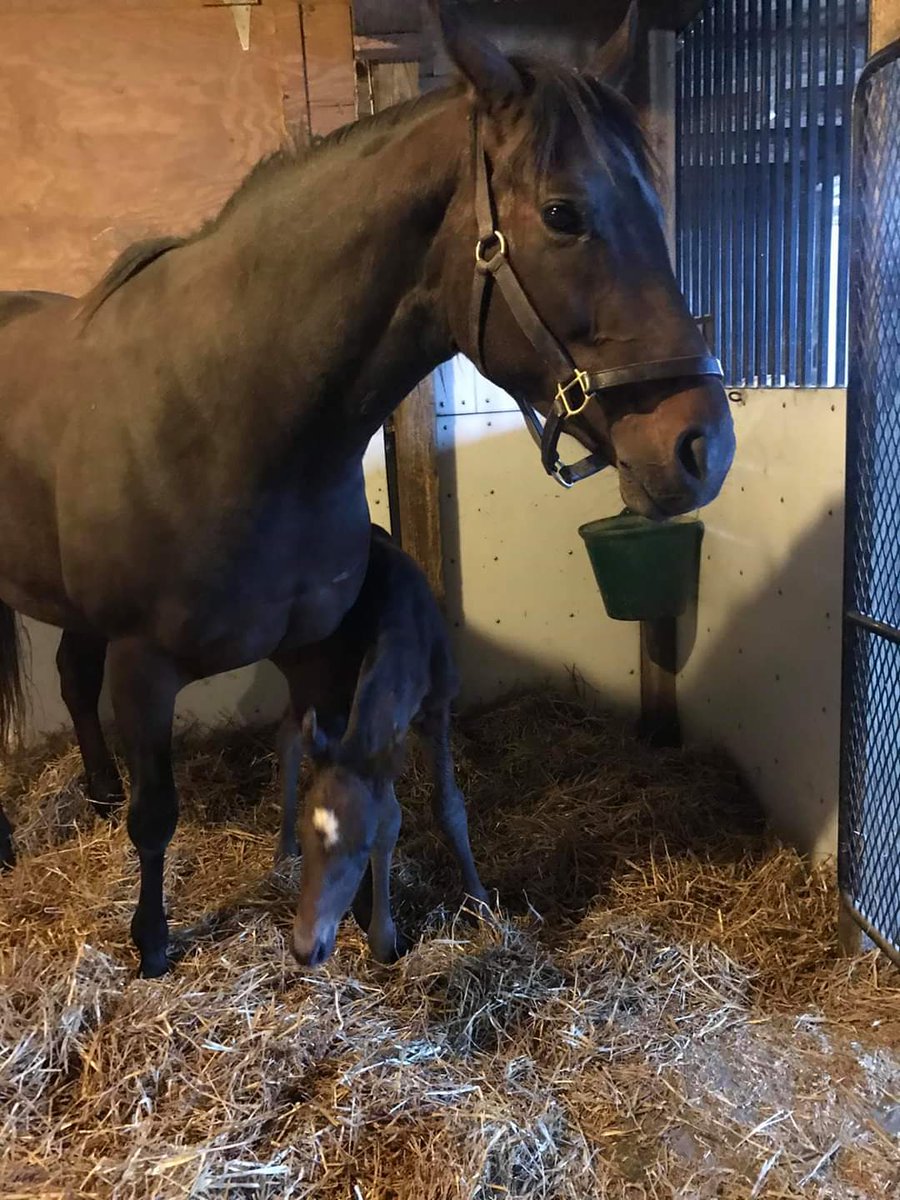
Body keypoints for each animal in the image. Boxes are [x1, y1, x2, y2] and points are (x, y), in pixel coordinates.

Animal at [274, 523, 488, 967]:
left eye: (362, 846)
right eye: (307, 832)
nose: (306, 949)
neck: (402, 624)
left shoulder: (435, 708)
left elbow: (445, 807)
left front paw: (479, 900)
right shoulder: (342, 715)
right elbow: (390, 812)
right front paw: (381, 934)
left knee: (289, 731)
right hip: (305, 680)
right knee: (290, 735)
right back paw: (282, 850)